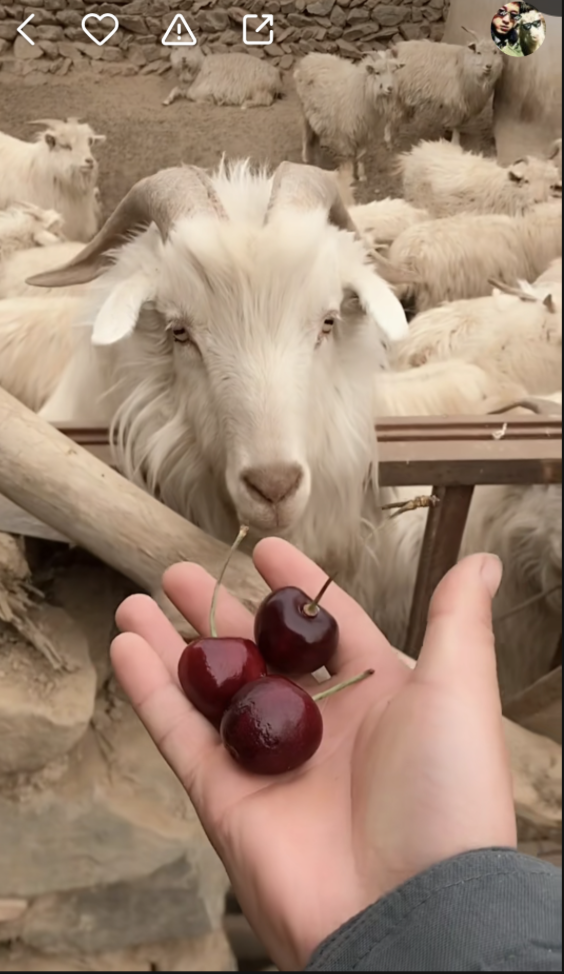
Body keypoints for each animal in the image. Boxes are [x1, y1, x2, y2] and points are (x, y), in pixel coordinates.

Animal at [294, 51, 399, 182]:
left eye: (394, 71)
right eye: (377, 72)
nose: (390, 88)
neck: (361, 89)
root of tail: (309, 57)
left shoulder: (365, 132)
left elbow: (362, 155)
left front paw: (362, 176)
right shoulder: (346, 132)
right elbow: (349, 156)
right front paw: (350, 176)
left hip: (317, 114)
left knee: (316, 135)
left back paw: (319, 159)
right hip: (303, 108)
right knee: (305, 133)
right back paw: (305, 157)